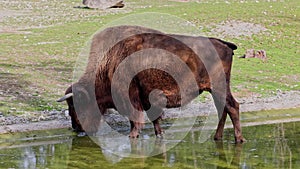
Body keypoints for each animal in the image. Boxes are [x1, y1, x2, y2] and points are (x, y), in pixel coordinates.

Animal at [57, 25, 245, 143]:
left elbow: (136, 119)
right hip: (215, 90)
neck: (109, 61)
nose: (76, 128)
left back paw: (239, 139)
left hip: (219, 88)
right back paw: (218, 137)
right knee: (223, 109)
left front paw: (133, 136)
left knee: (232, 107)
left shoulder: (132, 97)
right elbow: (153, 118)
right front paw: (159, 134)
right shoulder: (145, 97)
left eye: (75, 104)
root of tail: (224, 44)